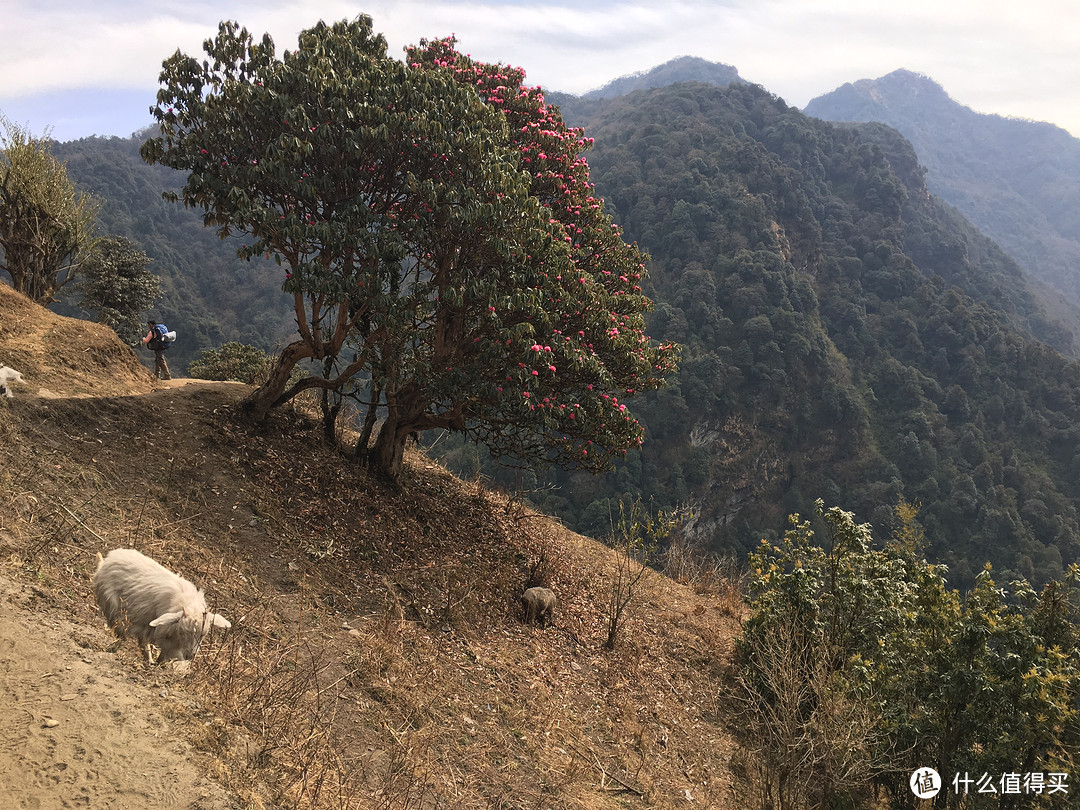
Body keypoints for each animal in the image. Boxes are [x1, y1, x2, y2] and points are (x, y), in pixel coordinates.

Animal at [92, 548, 232, 660]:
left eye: (203, 635)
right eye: (183, 633)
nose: (190, 656)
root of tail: (109, 558)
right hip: (113, 605)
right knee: (119, 629)